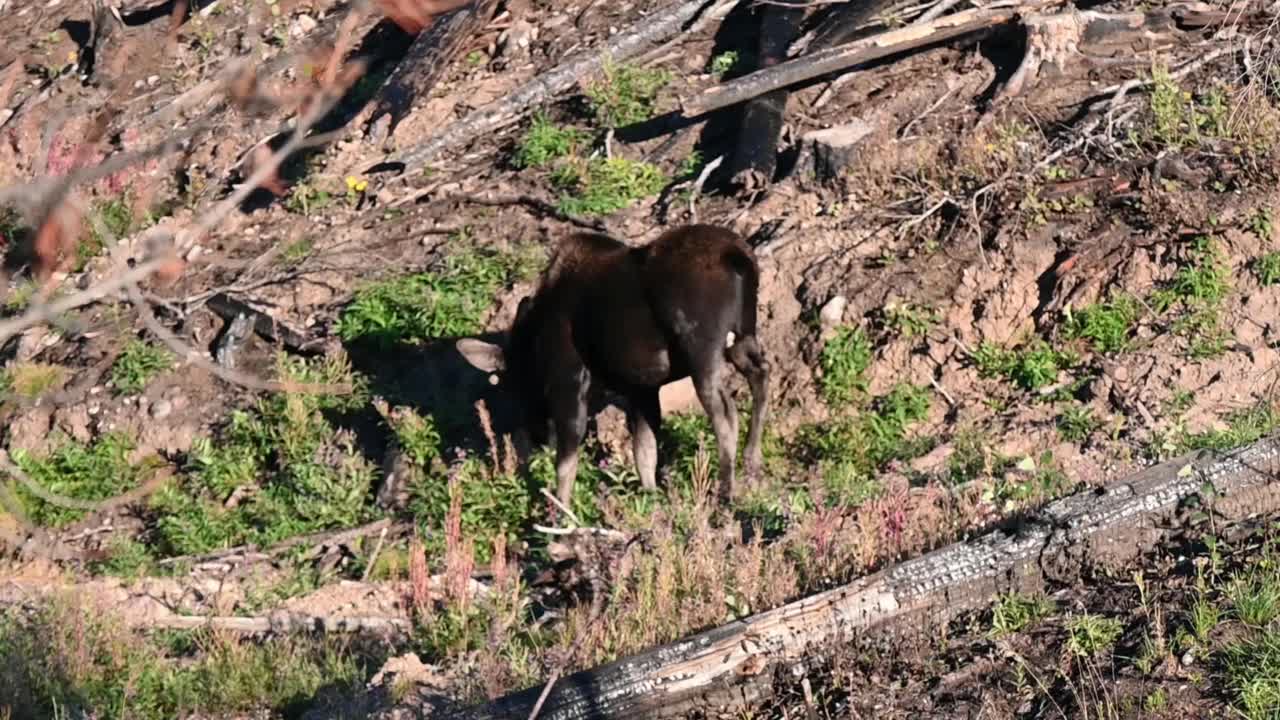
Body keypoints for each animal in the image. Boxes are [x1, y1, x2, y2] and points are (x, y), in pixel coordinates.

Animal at [460, 222, 768, 504]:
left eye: (514, 383)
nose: (536, 435)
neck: (534, 340)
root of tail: (737, 257)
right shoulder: (642, 389)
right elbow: (644, 450)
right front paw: (651, 498)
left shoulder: (568, 379)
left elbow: (566, 461)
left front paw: (560, 512)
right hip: (743, 337)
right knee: (761, 376)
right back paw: (751, 461)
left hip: (701, 348)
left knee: (725, 412)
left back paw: (726, 490)